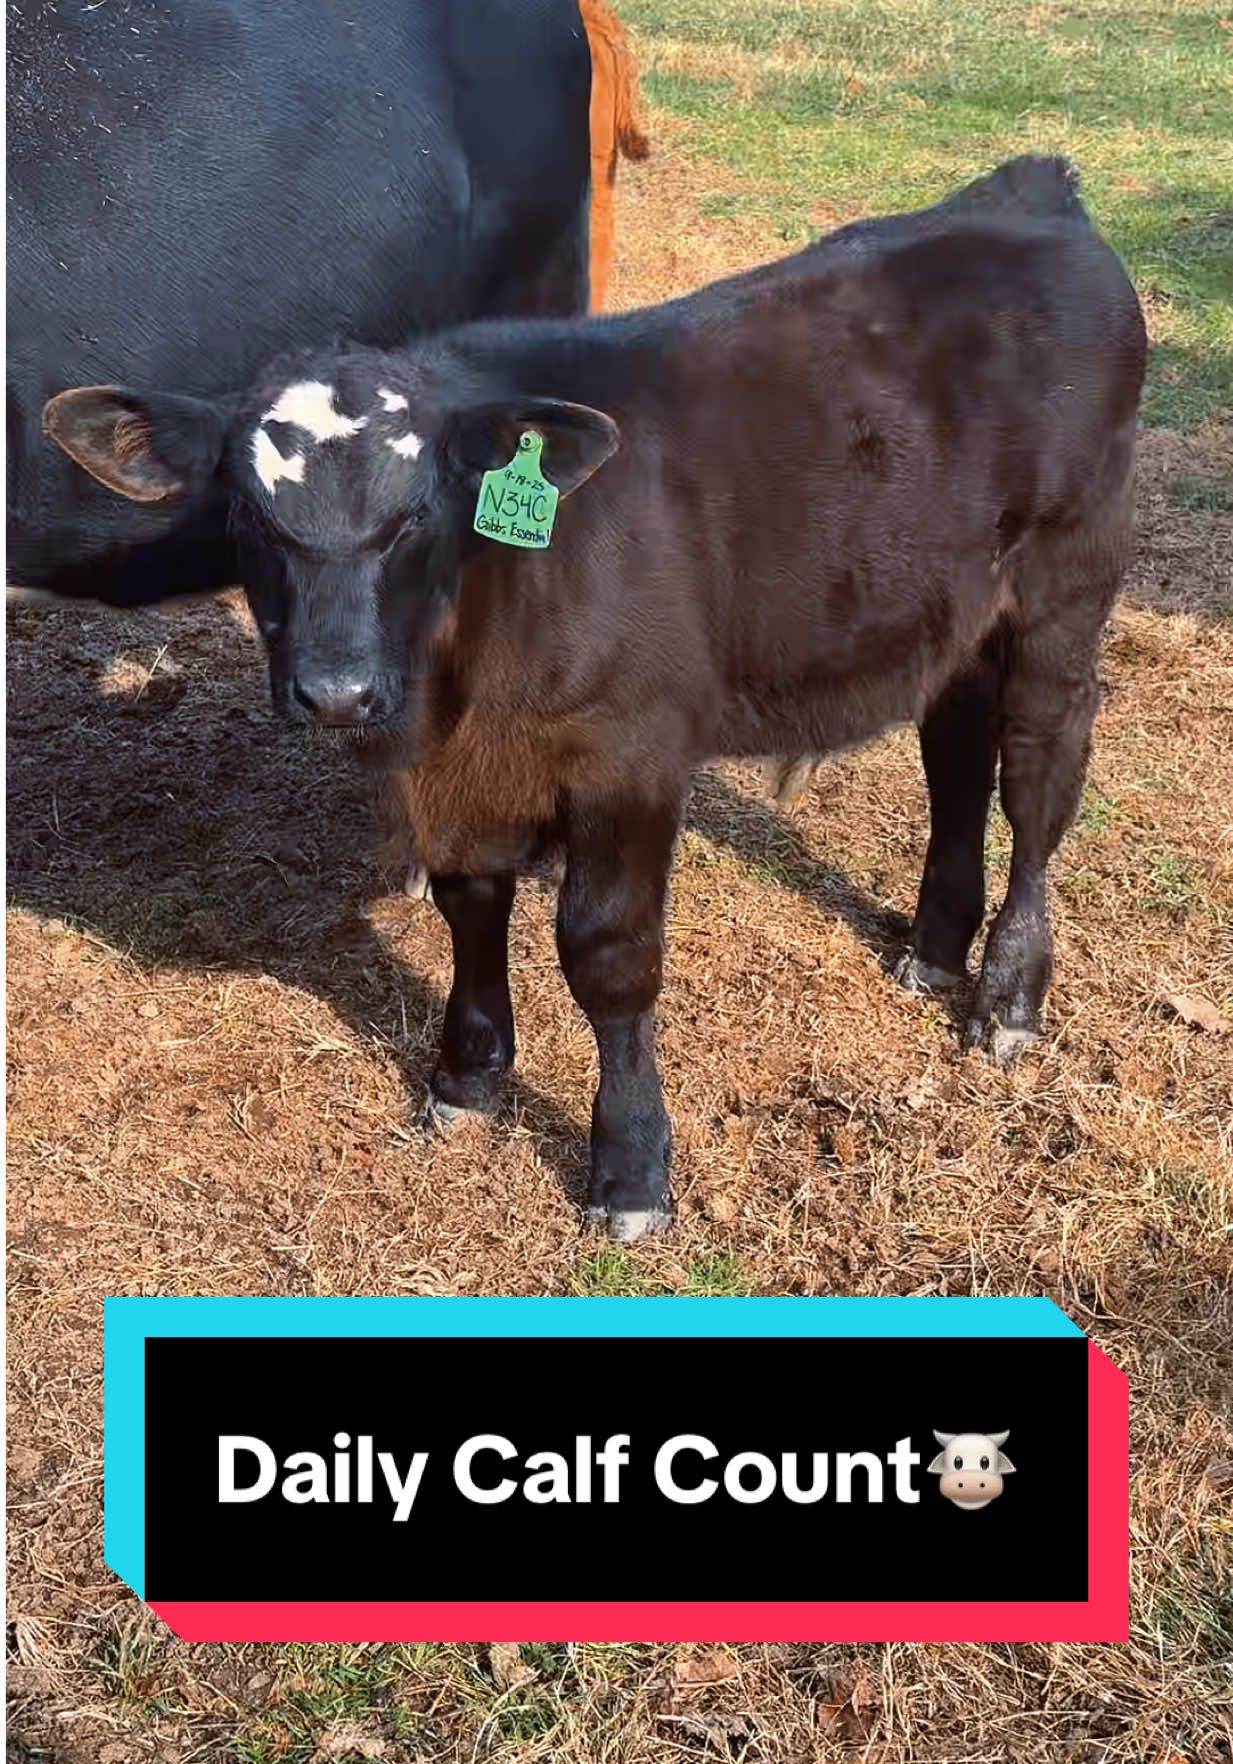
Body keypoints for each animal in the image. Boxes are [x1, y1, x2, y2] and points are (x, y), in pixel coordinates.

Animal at [42, 156, 1147, 1240]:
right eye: (247, 512)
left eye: (418, 514)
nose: (338, 691)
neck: (465, 672)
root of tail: (1029, 191)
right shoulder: (462, 774)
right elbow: (469, 901)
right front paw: (466, 1076)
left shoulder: (632, 755)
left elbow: (607, 954)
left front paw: (629, 1168)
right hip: (952, 613)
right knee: (955, 754)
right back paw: (932, 950)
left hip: (1068, 576)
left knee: (1039, 767)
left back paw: (1008, 994)